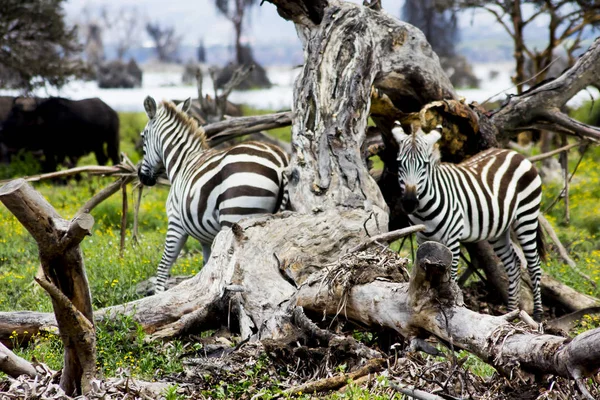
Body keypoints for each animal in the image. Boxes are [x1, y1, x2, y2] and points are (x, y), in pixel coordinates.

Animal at [139, 96, 292, 290]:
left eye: (143, 137)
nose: (142, 178)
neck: (182, 163)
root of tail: (280, 162)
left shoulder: (176, 223)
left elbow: (164, 266)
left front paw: (159, 294)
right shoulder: (205, 238)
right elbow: (206, 267)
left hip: (235, 215)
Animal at [392, 123, 548, 320]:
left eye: (425, 165)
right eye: (399, 163)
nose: (409, 202)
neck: (424, 210)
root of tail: (515, 153)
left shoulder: (453, 238)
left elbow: (451, 276)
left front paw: (450, 304)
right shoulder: (422, 238)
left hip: (527, 216)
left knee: (534, 264)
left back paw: (537, 315)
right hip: (498, 229)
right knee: (513, 263)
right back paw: (510, 313)